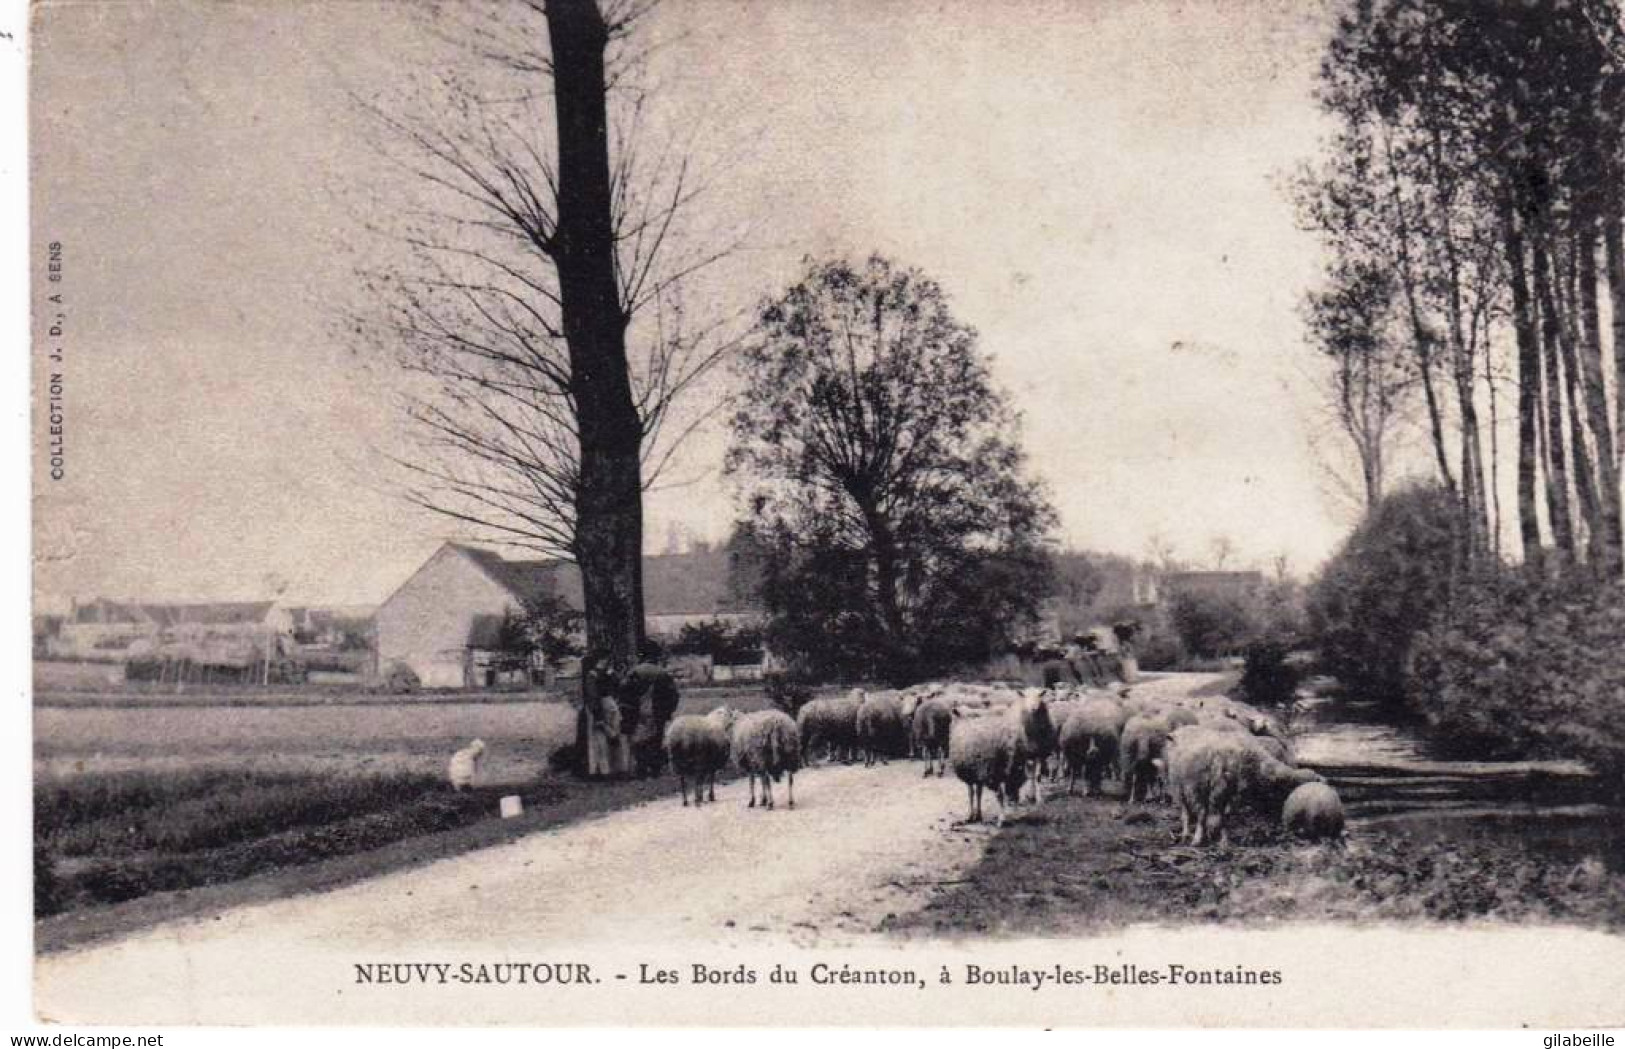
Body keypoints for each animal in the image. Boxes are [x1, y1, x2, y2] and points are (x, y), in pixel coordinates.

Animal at [949, 691, 1059, 831]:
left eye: (1040, 696)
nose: (1033, 708)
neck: (964, 722)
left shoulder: (971, 774)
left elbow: (971, 793)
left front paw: (971, 815)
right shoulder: (977, 772)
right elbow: (979, 793)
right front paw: (978, 815)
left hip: (996, 769)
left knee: (1001, 795)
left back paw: (1002, 820)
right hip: (1016, 768)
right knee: (1017, 789)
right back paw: (1018, 812)